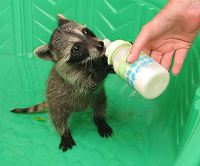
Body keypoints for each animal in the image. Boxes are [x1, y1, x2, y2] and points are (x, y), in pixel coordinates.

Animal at [11, 14, 115, 152]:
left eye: (86, 32)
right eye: (76, 48)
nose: (101, 45)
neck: (85, 62)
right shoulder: (70, 76)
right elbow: (87, 84)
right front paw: (100, 70)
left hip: (98, 97)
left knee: (100, 105)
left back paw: (100, 120)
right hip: (56, 103)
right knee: (58, 119)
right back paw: (64, 133)